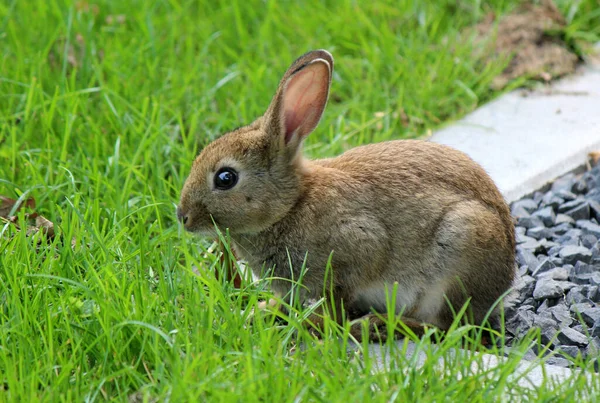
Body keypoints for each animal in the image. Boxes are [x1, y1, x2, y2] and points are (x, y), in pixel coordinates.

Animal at [177, 49, 516, 340]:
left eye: (226, 178)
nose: (183, 217)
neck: (290, 207)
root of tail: (505, 277)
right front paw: (260, 312)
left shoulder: (356, 248)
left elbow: (338, 300)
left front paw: (313, 323)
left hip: (459, 250)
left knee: (446, 327)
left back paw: (376, 325)